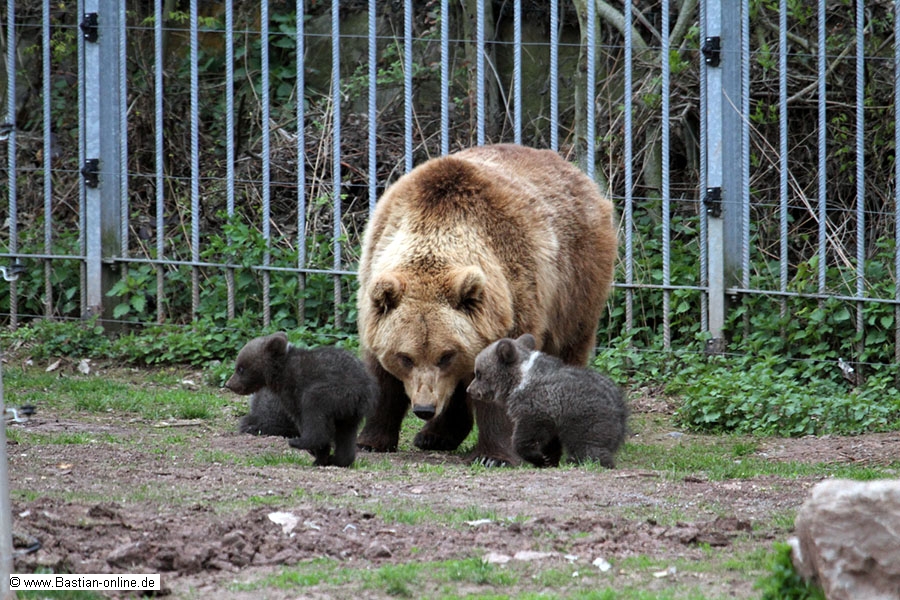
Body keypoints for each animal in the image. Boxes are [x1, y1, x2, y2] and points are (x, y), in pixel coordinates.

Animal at [225, 332, 377, 467]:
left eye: (240, 368)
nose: (229, 384)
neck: (279, 374)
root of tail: (359, 389)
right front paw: (323, 457)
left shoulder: (292, 393)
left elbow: (301, 418)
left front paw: (318, 454)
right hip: (352, 413)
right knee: (346, 435)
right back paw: (341, 459)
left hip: (330, 392)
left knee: (315, 412)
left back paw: (300, 442)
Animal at [467, 333, 628, 468]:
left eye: (478, 373)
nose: (469, 390)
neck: (518, 380)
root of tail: (621, 413)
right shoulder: (552, 419)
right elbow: (550, 440)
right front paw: (548, 459)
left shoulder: (535, 408)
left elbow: (524, 437)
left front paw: (538, 458)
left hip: (586, 420)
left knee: (588, 447)